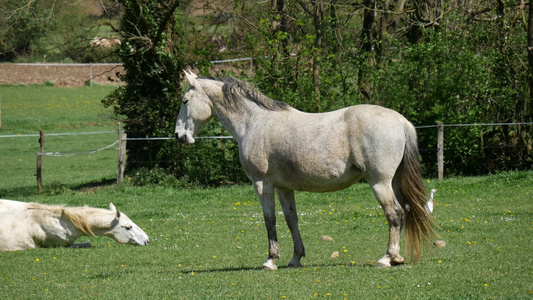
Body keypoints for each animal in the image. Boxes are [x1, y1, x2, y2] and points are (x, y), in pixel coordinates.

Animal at [175, 71, 432, 270]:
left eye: (185, 101)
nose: (179, 136)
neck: (254, 122)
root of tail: (401, 121)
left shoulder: (262, 183)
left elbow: (269, 220)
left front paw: (270, 260)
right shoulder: (284, 188)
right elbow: (291, 220)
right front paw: (295, 258)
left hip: (380, 182)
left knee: (394, 213)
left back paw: (386, 258)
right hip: (394, 182)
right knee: (405, 210)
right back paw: (397, 257)